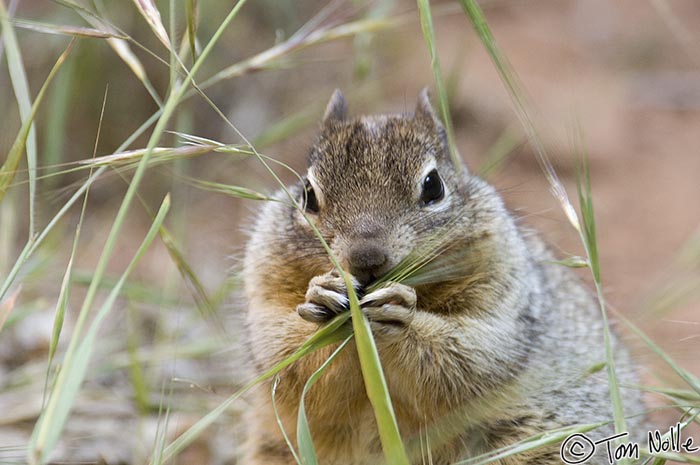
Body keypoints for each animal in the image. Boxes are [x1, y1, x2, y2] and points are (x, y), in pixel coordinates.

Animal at [242, 89, 644, 462]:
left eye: (434, 185)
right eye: (308, 194)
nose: (366, 257)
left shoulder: (502, 298)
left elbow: (470, 355)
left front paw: (398, 312)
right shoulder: (264, 290)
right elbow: (285, 360)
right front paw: (321, 297)